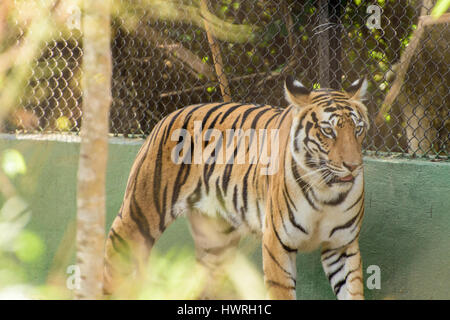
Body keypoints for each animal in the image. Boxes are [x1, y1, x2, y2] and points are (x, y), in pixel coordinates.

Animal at [104, 75, 370, 300]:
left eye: (358, 129)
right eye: (328, 131)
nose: (353, 165)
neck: (327, 193)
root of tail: (168, 116)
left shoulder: (342, 245)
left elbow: (352, 290)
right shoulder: (277, 244)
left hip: (216, 243)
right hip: (138, 217)